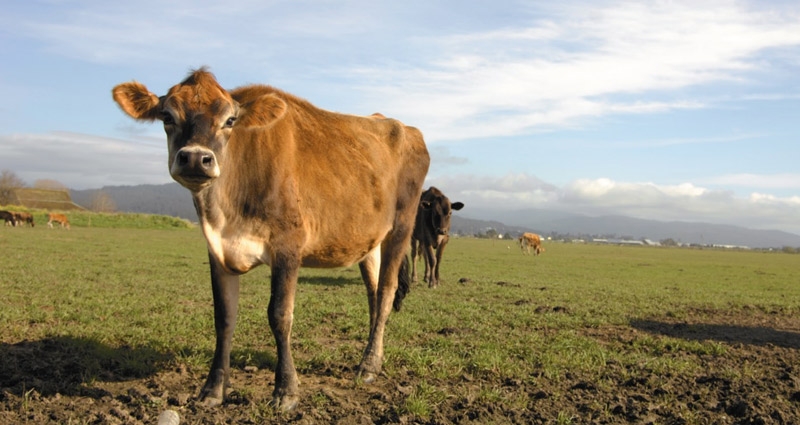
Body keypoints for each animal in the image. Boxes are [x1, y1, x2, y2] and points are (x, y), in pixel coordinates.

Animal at [111, 68, 432, 410]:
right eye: (167, 116)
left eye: (229, 120)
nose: (196, 158)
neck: (226, 215)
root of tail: (399, 125)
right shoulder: (218, 250)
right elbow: (224, 317)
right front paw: (212, 390)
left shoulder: (288, 244)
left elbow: (280, 315)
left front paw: (286, 391)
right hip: (369, 240)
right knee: (373, 293)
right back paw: (374, 358)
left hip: (401, 226)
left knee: (386, 292)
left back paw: (368, 366)